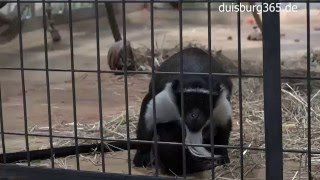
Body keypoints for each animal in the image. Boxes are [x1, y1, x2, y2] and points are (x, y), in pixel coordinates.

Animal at [132, 46, 232, 174]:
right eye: (187, 101)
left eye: (203, 102)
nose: (194, 115)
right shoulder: (166, 100)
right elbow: (148, 120)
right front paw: (142, 156)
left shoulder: (220, 105)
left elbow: (224, 129)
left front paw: (222, 156)